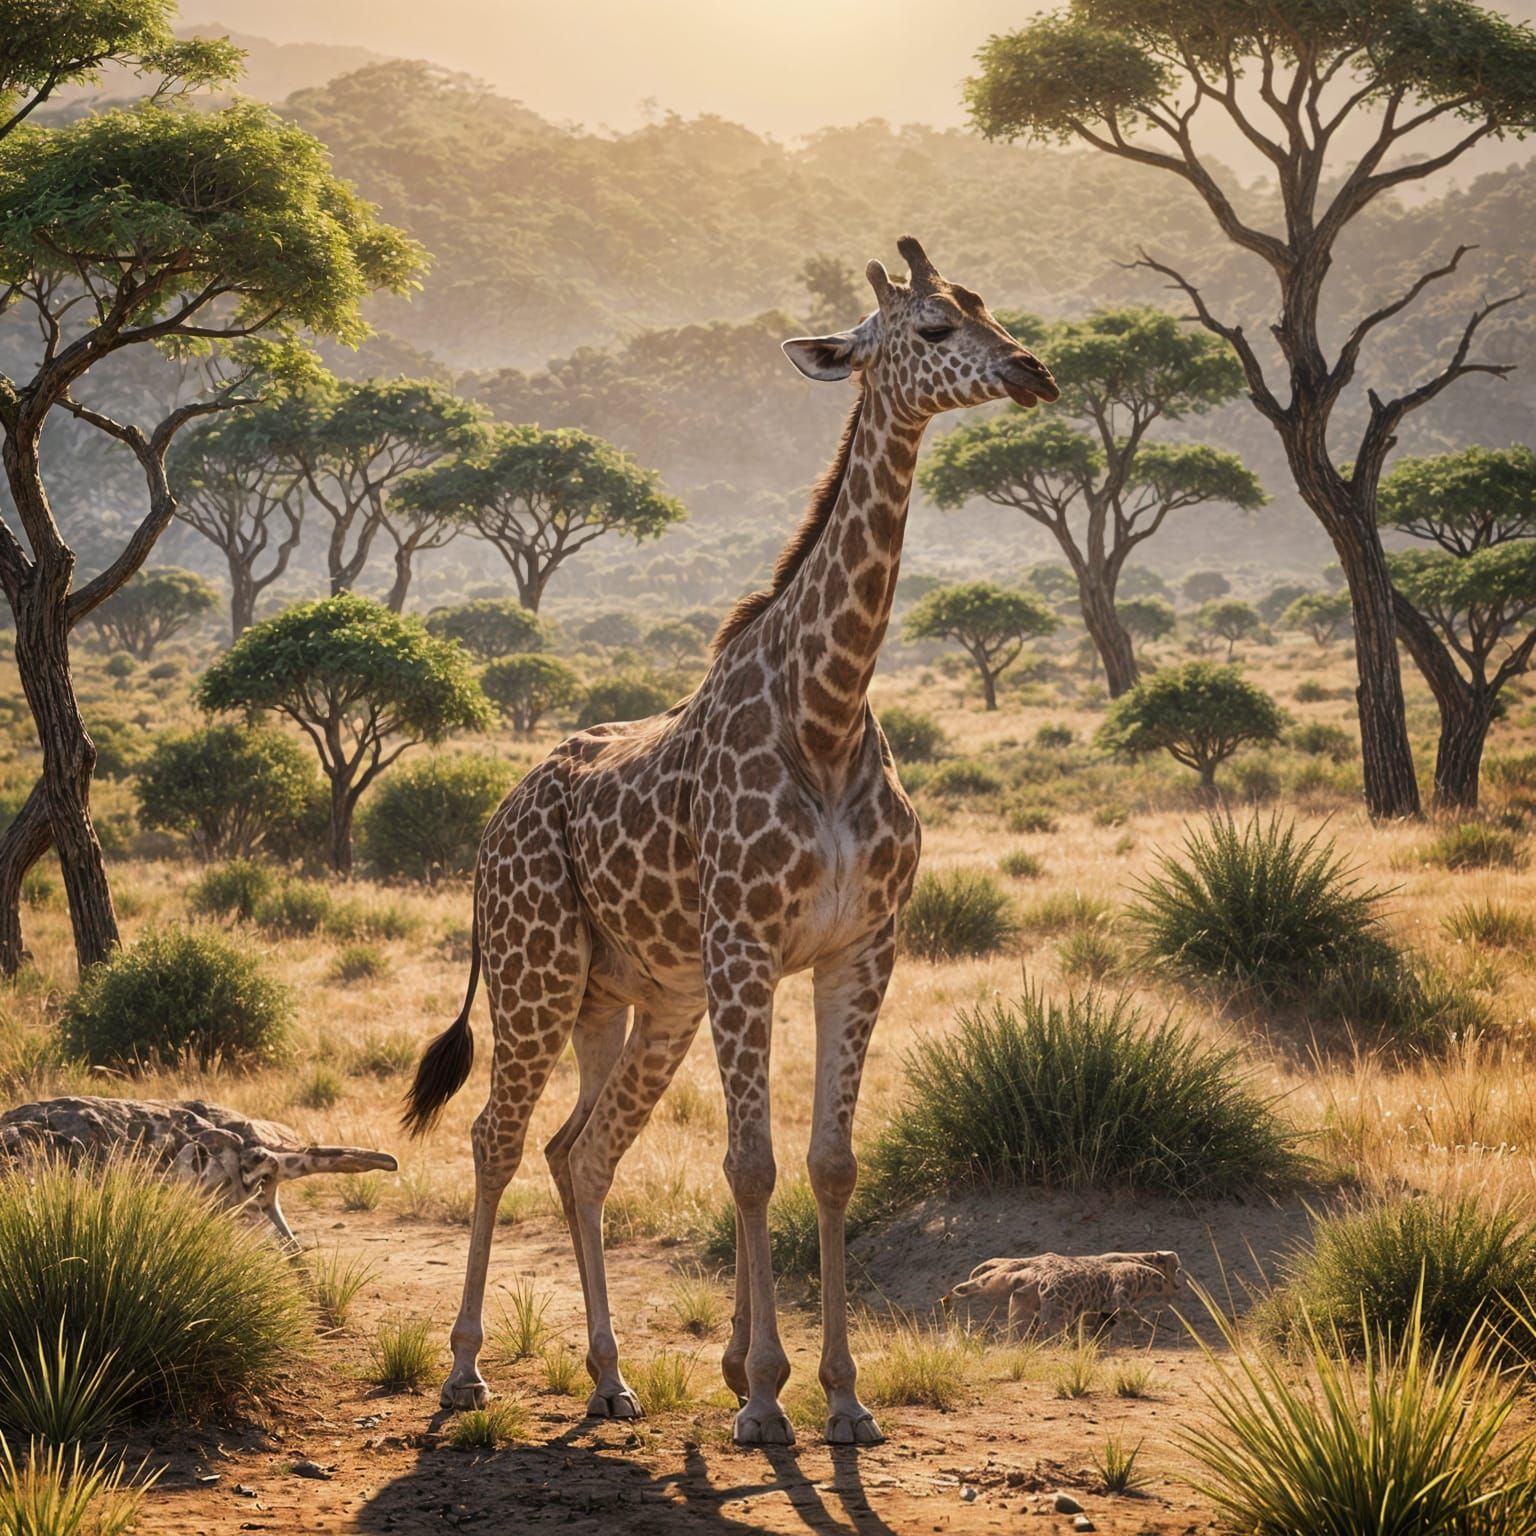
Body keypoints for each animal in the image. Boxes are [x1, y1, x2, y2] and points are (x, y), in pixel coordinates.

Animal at [404, 236, 1057, 1447]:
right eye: (934, 328)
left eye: (985, 304)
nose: (1034, 370)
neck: (828, 711)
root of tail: (493, 824)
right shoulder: (746, 948)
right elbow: (750, 1166)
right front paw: (760, 1395)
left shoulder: (862, 948)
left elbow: (831, 1164)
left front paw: (840, 1396)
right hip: (533, 974)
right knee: (496, 1141)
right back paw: (464, 1371)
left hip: (638, 1002)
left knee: (580, 1153)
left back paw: (610, 1377)